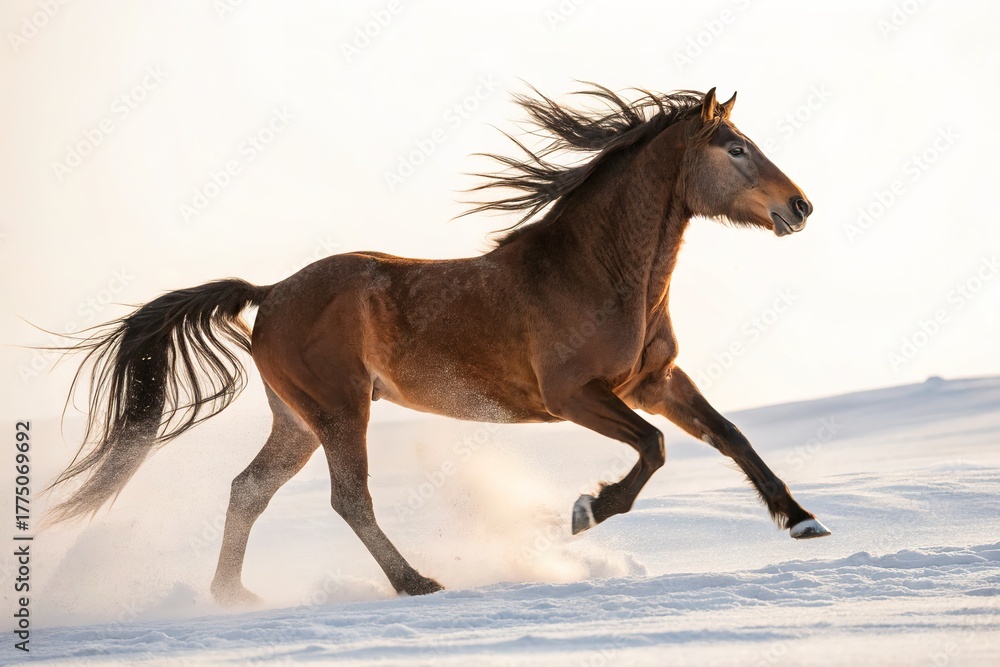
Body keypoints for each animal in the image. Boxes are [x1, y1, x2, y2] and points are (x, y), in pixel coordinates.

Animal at [46, 84, 830, 606]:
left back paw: (233, 595)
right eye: (735, 148)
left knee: (248, 489)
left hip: (295, 420)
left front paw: (803, 521)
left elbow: (730, 437)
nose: (801, 207)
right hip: (340, 410)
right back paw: (415, 581)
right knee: (349, 497)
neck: (596, 272)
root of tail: (269, 294)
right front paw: (586, 511)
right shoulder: (575, 395)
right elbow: (654, 448)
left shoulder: (655, 381)